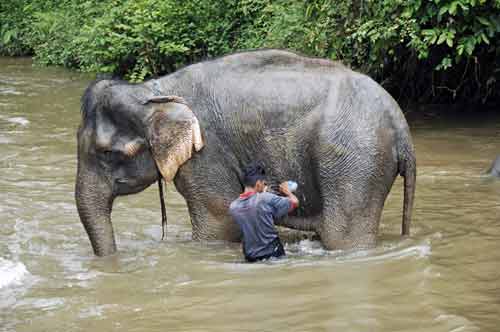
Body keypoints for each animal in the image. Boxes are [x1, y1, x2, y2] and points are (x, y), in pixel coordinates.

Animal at [74, 49, 416, 256]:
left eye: (107, 154)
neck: (153, 92)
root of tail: (401, 125)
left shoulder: (207, 154)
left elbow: (218, 222)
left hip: (355, 160)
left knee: (342, 236)